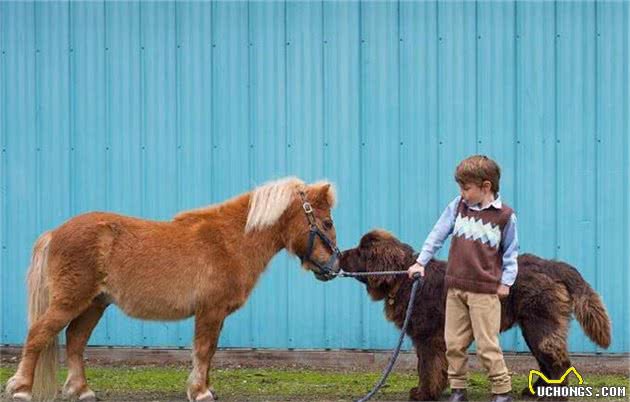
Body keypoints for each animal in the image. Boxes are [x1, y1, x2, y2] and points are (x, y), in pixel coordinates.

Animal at [4, 177, 340, 402]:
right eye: (326, 222)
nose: (335, 266)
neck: (229, 241)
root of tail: (54, 233)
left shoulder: (216, 314)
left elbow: (210, 351)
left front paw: (206, 387)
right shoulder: (210, 311)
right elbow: (203, 350)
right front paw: (200, 392)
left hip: (94, 304)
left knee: (75, 340)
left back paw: (82, 390)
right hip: (70, 301)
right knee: (38, 335)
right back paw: (21, 389)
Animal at [340, 231, 612, 400]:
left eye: (361, 251)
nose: (340, 255)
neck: (405, 280)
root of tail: (552, 265)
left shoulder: (428, 338)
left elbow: (427, 367)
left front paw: (424, 394)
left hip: (539, 324)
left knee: (558, 361)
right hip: (531, 326)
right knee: (547, 361)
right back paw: (536, 392)